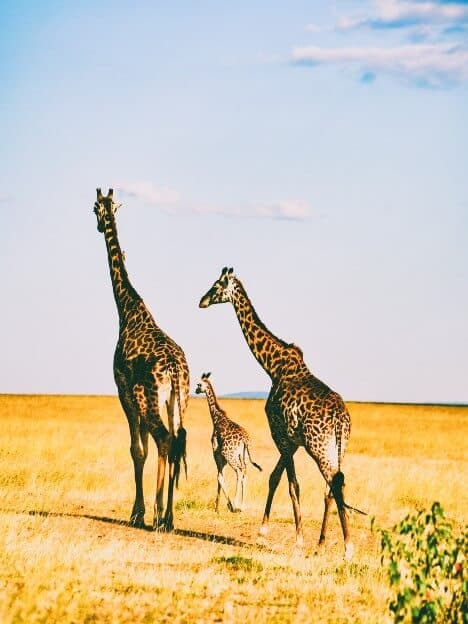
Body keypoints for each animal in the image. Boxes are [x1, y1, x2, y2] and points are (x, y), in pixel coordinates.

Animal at [93, 186, 190, 532]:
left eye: (94, 208)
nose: (99, 225)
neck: (127, 308)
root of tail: (174, 370)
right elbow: (145, 449)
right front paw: (145, 511)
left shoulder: (123, 392)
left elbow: (137, 450)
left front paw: (138, 513)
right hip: (177, 402)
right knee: (176, 441)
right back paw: (169, 517)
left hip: (147, 399)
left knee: (165, 440)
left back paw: (160, 516)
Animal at [197, 266, 362, 560]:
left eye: (216, 286)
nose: (201, 301)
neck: (272, 366)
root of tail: (341, 420)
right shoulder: (292, 441)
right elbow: (275, 477)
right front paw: (264, 531)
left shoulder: (280, 434)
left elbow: (290, 484)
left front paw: (296, 541)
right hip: (338, 448)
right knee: (333, 486)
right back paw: (321, 544)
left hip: (320, 448)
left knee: (335, 483)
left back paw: (347, 549)